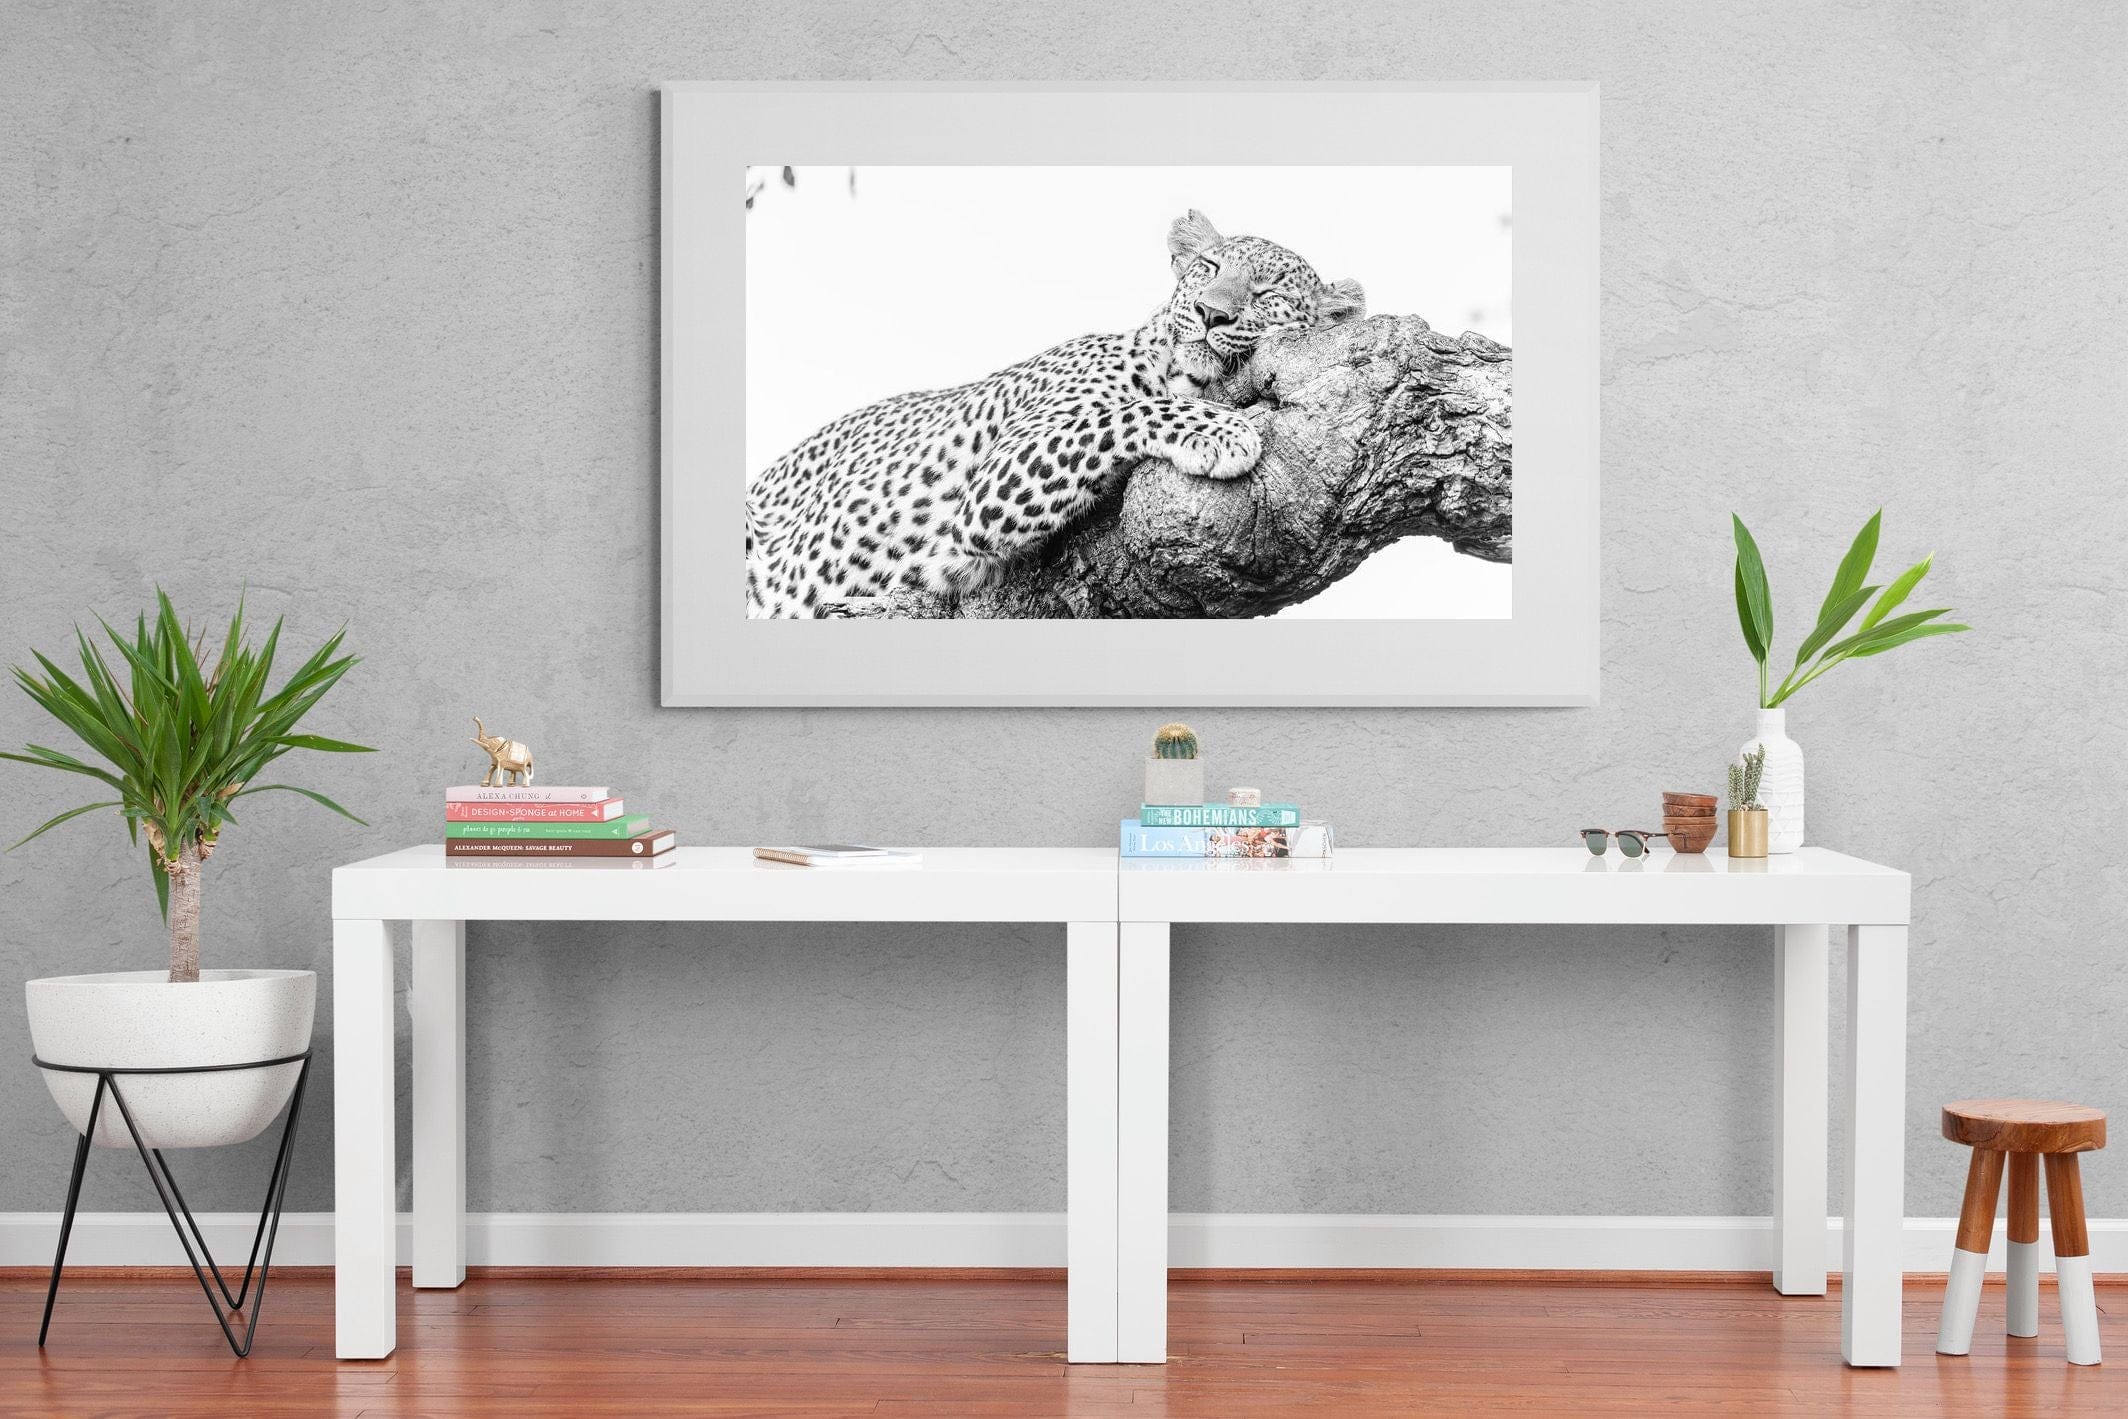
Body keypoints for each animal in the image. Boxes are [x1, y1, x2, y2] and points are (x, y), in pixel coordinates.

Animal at [744, 210, 1365, 617]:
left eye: (1267, 294)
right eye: (1209, 267)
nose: (1210, 313)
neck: (1176, 367)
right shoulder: (991, 486)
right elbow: (1125, 412)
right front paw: (1224, 429)